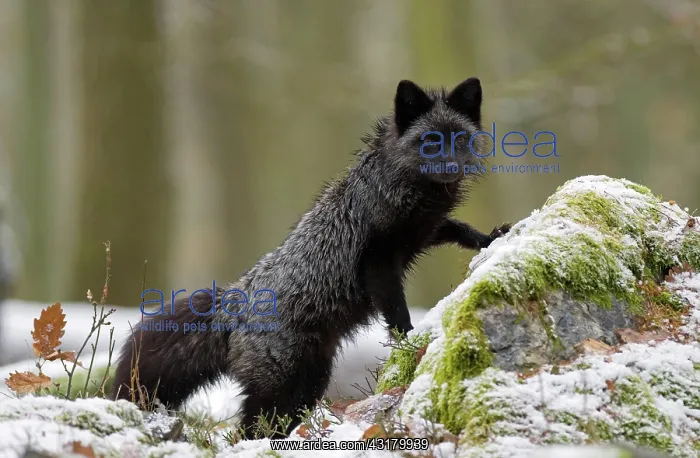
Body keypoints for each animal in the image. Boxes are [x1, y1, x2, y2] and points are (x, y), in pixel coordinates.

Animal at [112, 77, 511, 438]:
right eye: (429, 141)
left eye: (459, 139)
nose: (451, 168)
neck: (401, 187)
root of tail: (232, 302)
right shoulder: (378, 260)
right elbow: (396, 310)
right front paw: (409, 338)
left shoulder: (423, 231)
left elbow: (459, 228)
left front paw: (491, 238)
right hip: (279, 384)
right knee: (248, 429)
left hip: (310, 383)